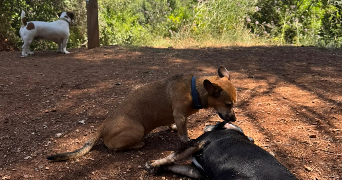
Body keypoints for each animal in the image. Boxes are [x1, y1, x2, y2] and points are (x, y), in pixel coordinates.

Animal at [46, 66, 236, 162]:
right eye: (228, 104)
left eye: (234, 102)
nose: (234, 118)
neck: (194, 90)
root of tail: (102, 126)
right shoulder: (180, 116)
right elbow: (184, 135)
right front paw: (188, 141)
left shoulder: (174, 117)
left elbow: (173, 124)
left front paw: (173, 128)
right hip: (138, 129)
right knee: (115, 148)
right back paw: (138, 144)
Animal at [146, 121, 298, 179]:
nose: (207, 124)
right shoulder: (199, 172)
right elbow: (176, 165)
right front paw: (159, 168)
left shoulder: (196, 143)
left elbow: (172, 156)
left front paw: (153, 164)